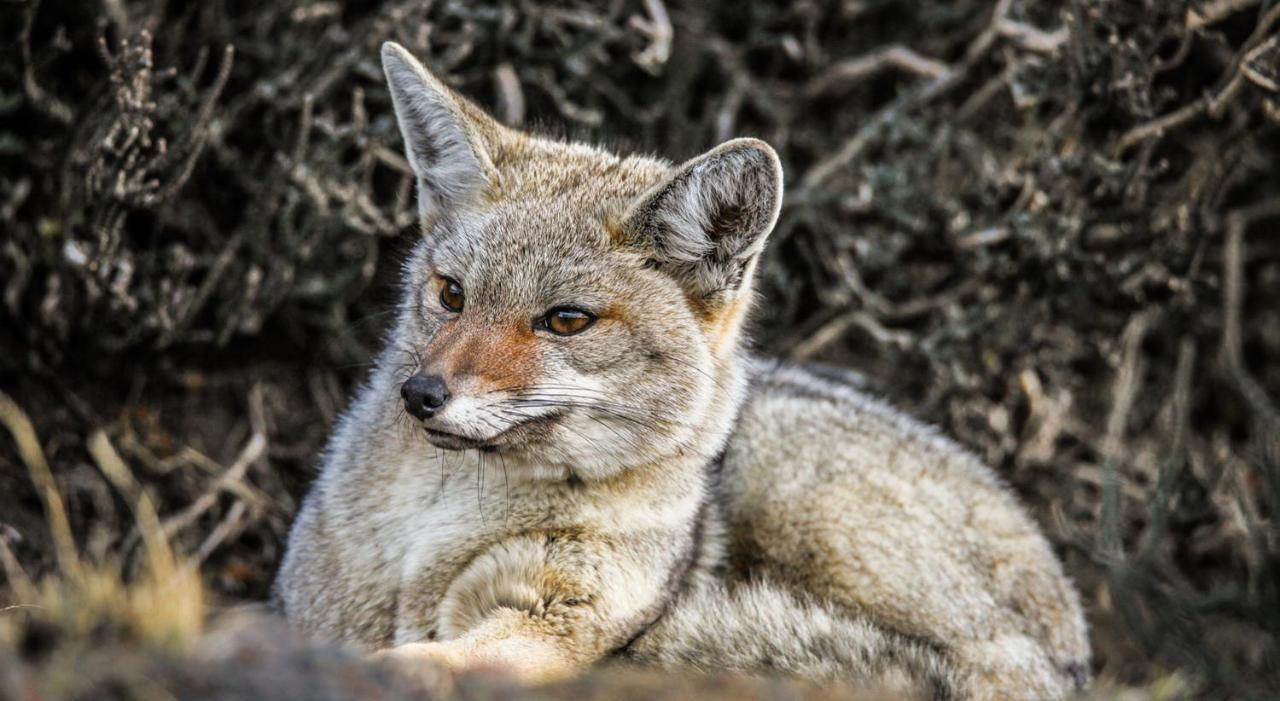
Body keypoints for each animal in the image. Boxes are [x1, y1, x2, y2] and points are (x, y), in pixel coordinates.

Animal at [272, 42, 1090, 701]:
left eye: (566, 320)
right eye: (450, 295)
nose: (422, 394)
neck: (434, 530)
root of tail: (1070, 648)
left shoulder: (555, 619)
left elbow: (435, 660)